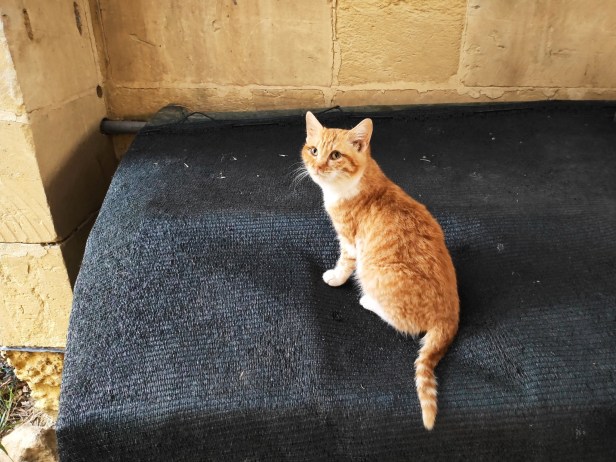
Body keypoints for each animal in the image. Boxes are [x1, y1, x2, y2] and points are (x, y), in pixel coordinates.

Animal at [301, 111, 459, 430]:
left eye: (335, 155)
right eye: (313, 150)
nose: (318, 166)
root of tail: (450, 316)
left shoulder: (350, 242)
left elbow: (343, 264)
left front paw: (335, 278)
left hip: (375, 271)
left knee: (403, 323)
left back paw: (368, 301)